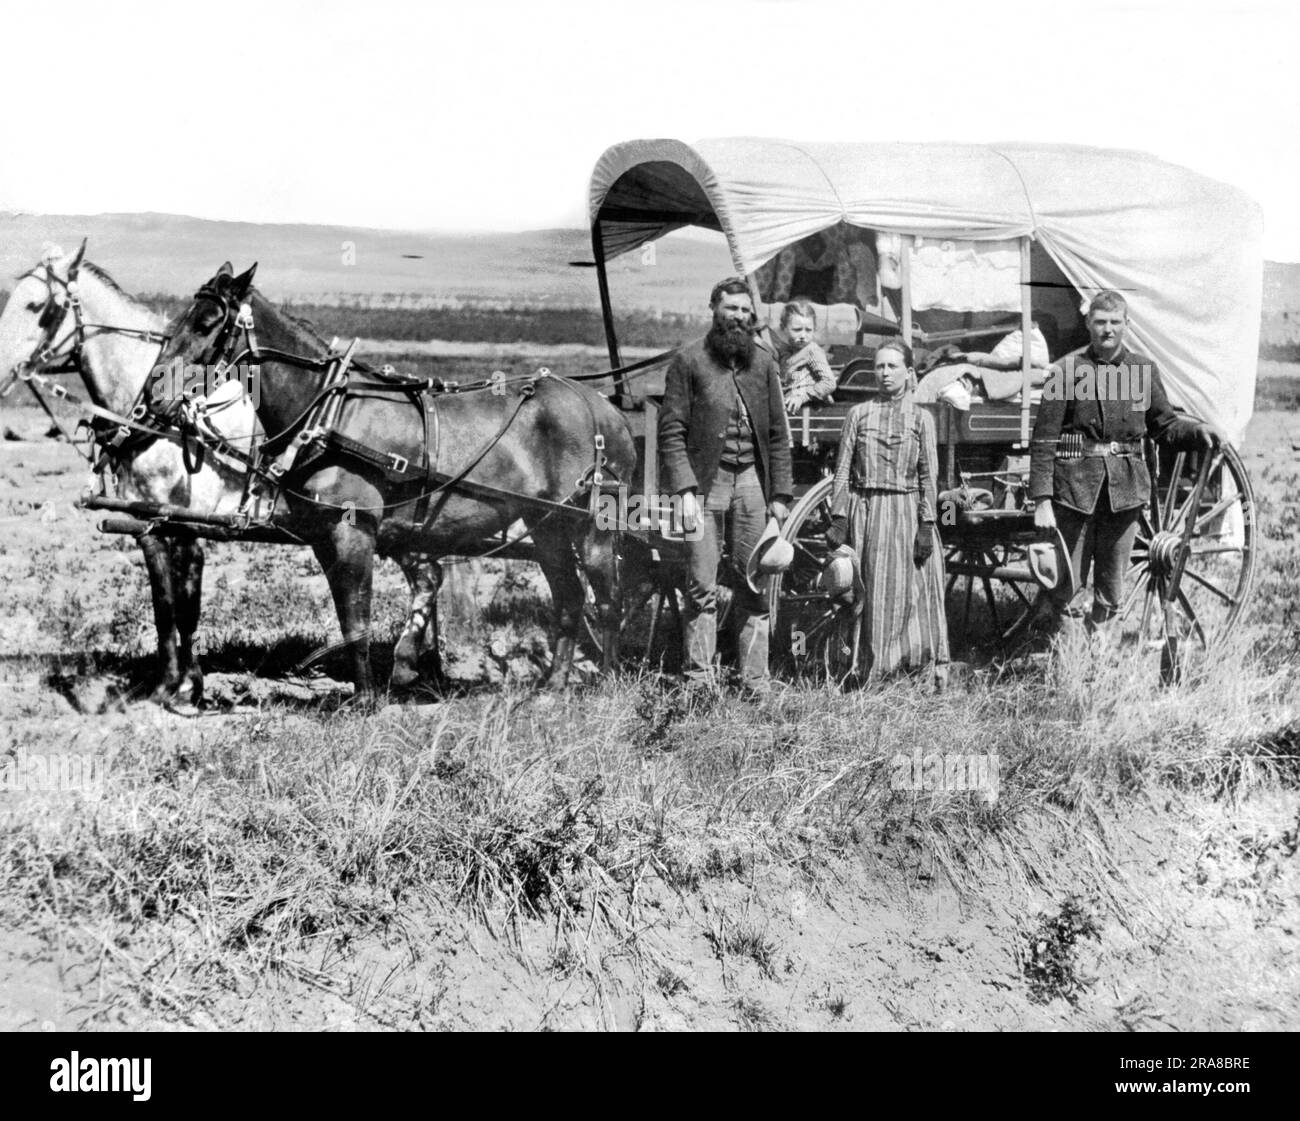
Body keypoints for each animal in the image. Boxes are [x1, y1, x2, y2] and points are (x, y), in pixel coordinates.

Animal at [0, 249, 441, 707]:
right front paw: (166, 684)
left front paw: (188, 687)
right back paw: (424, 667)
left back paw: (412, 665)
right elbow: (163, 606)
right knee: (430, 575)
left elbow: (186, 607)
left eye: (37, 307)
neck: (162, 423)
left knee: (428, 578)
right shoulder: (148, 526)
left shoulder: (186, 526)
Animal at [149, 262, 637, 702]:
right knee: (570, 597)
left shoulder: (354, 532)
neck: (329, 414)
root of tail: (605, 409)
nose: (153, 395)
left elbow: (356, 618)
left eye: (206, 323)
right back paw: (554, 687)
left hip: (593, 526)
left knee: (609, 599)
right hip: (547, 525)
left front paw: (366, 699)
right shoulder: (324, 537)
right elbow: (349, 617)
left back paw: (609, 682)